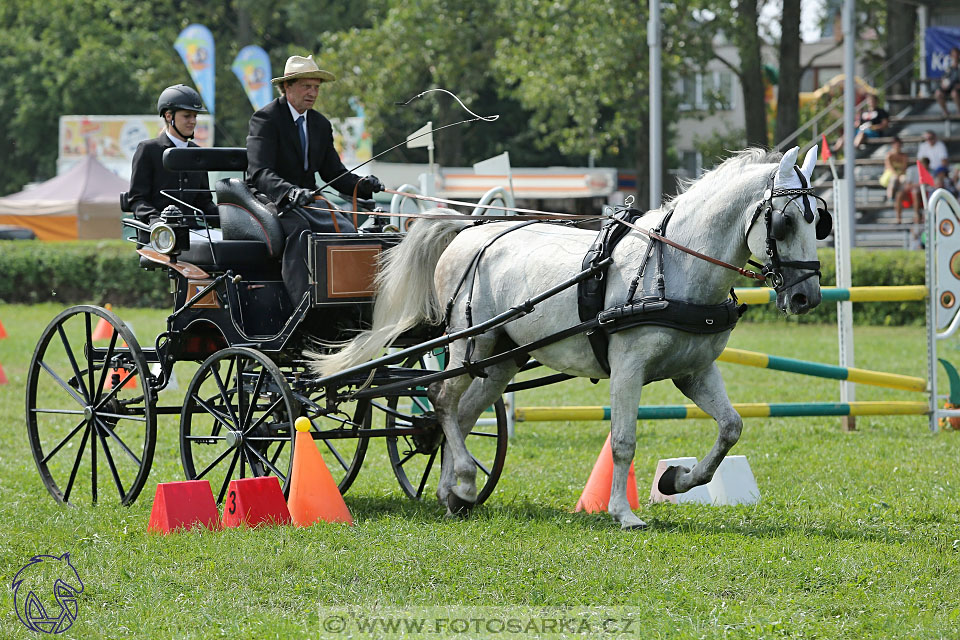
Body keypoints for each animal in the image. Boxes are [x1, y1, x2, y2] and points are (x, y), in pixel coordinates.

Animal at [314, 146, 824, 528]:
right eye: (785, 221)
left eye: (819, 220)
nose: (807, 296)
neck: (673, 265)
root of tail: (466, 231)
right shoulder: (628, 370)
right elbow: (623, 441)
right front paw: (624, 513)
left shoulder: (695, 371)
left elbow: (730, 428)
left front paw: (675, 480)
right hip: (469, 343)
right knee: (442, 400)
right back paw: (459, 477)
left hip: (500, 357)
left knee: (461, 412)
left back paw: (456, 491)